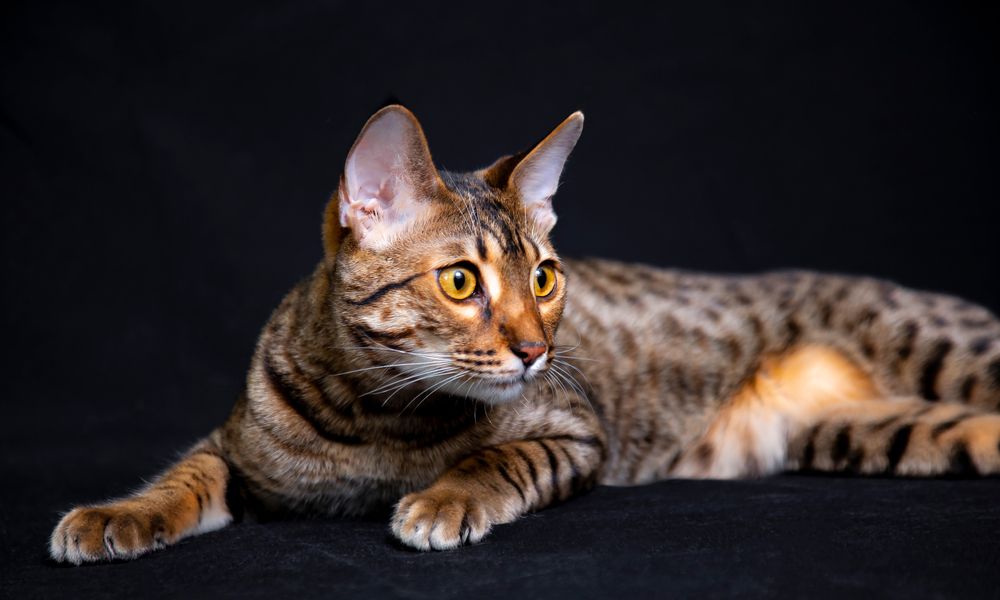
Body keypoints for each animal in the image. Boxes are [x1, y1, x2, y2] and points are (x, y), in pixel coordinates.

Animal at [48, 102, 1000, 564]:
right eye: (462, 282)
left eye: (543, 277)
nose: (536, 349)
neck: (378, 422)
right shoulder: (238, 446)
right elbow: (183, 473)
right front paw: (116, 514)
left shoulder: (576, 433)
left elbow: (498, 459)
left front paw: (443, 499)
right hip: (873, 431)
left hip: (939, 347)